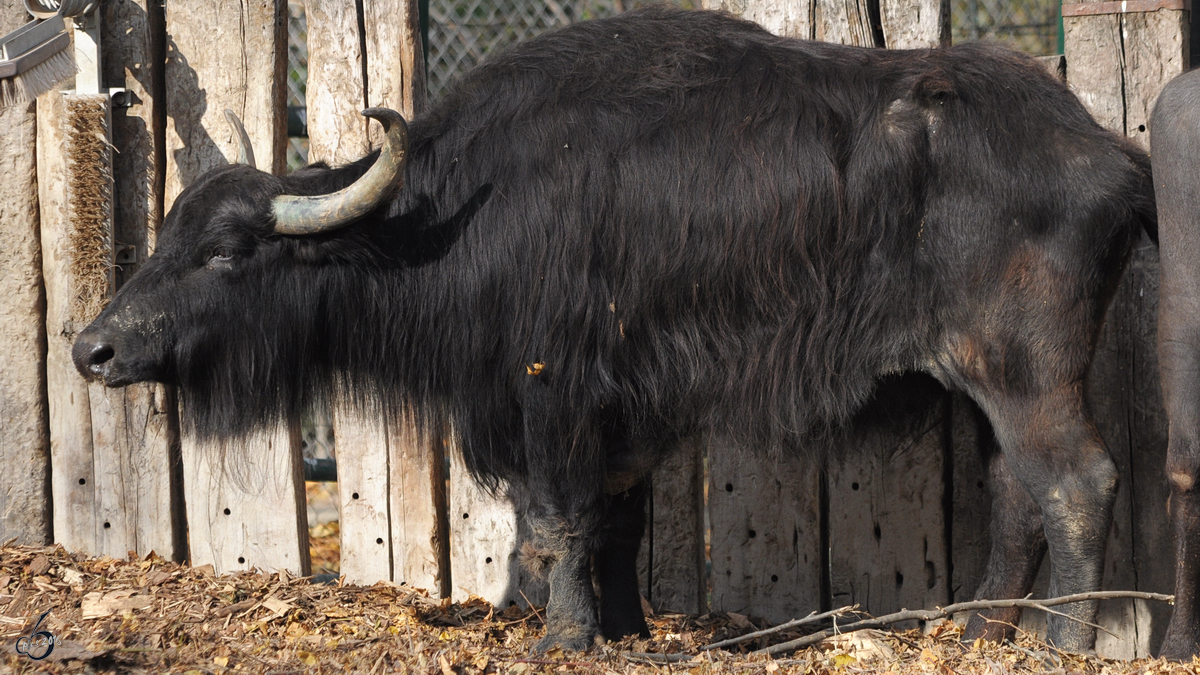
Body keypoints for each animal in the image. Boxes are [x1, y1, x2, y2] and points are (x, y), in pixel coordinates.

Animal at [72, 6, 1152, 653]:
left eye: (227, 250)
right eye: (166, 235)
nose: (95, 348)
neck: (451, 217)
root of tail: (1108, 155)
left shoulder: (554, 393)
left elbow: (560, 517)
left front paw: (563, 636)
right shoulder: (632, 408)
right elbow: (618, 518)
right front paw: (626, 627)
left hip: (1027, 374)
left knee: (1078, 482)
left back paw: (1063, 642)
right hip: (983, 389)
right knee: (1014, 495)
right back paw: (979, 633)